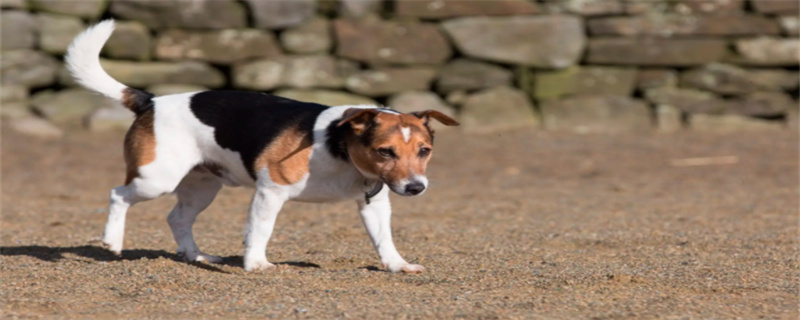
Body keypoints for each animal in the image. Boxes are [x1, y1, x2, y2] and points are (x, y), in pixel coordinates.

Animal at [65, 21, 460, 274]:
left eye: (424, 151)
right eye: (384, 151)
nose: (416, 187)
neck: (341, 150)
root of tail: (152, 100)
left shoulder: (375, 204)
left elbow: (384, 239)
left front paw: (397, 265)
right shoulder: (271, 192)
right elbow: (260, 231)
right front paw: (256, 265)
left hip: (202, 186)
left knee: (177, 218)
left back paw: (197, 257)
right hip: (155, 179)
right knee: (118, 194)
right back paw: (112, 241)